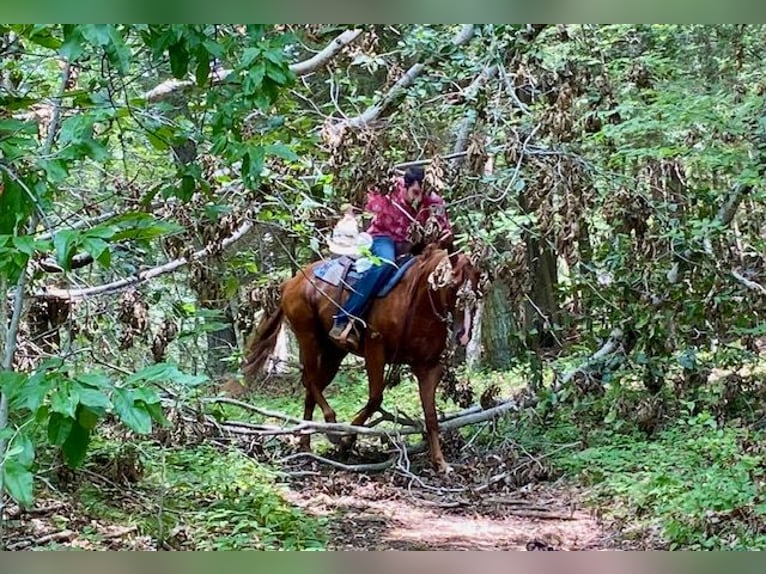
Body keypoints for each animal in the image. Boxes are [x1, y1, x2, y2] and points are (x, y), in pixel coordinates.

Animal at [242, 243, 482, 473]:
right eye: (452, 285)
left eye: (477, 284)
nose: (464, 334)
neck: (418, 302)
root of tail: (291, 282)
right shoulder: (375, 349)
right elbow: (375, 399)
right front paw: (348, 439)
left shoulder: (428, 367)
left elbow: (431, 417)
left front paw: (440, 462)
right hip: (308, 336)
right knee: (309, 380)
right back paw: (331, 427)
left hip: (333, 353)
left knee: (311, 387)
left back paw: (306, 442)